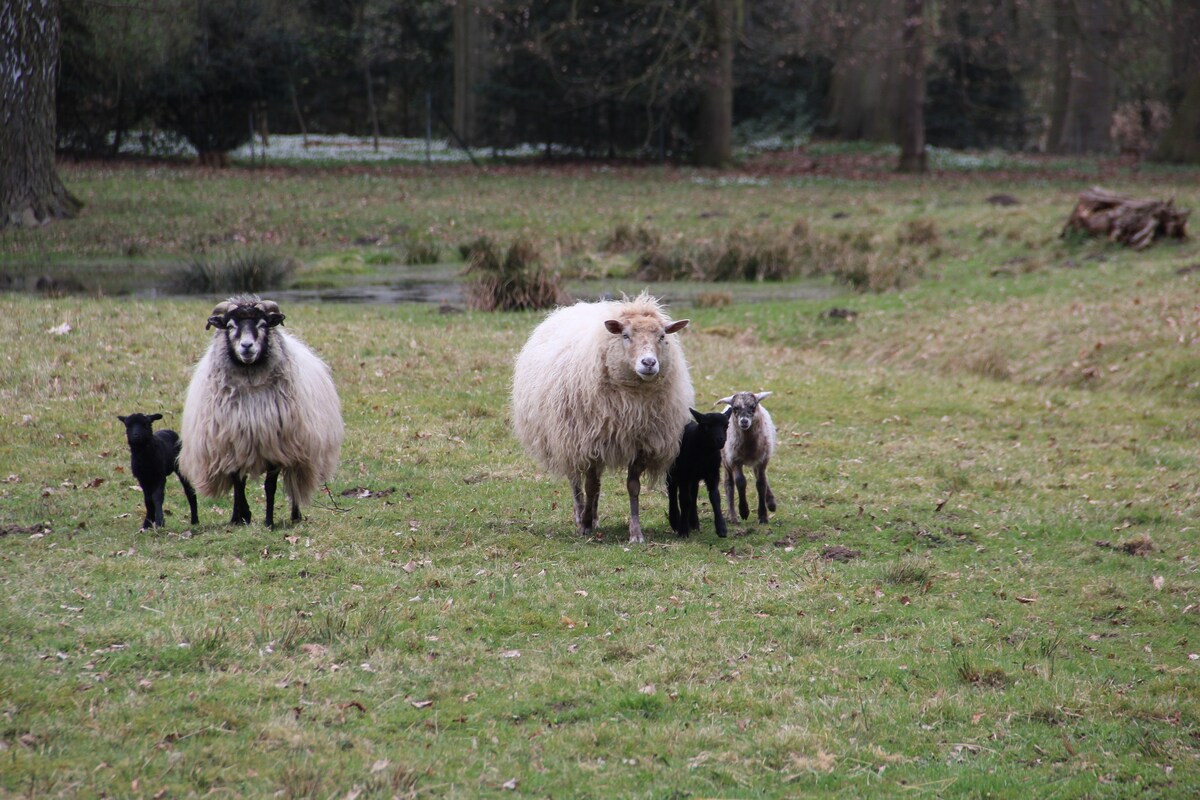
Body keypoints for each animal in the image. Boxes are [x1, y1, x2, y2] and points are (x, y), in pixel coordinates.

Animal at [180, 297, 345, 527]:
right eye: (230, 326)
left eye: (263, 324)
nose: (247, 346)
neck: (250, 381)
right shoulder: (233, 445)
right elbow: (238, 483)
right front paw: (238, 517)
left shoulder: (275, 446)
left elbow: (270, 486)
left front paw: (268, 521)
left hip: (298, 450)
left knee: (294, 484)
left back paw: (295, 515)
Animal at [513, 289, 696, 544]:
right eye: (626, 335)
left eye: (662, 336)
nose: (649, 363)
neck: (633, 399)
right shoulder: (590, 441)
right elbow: (590, 486)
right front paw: (585, 524)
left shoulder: (641, 443)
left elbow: (632, 487)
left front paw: (635, 533)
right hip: (567, 438)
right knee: (576, 481)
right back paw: (582, 515)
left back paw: (595, 517)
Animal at [667, 407, 729, 537]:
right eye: (706, 426)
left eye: (726, 425)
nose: (721, 440)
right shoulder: (684, 475)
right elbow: (684, 500)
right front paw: (683, 530)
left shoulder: (713, 474)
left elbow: (715, 497)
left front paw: (721, 528)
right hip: (673, 471)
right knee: (672, 492)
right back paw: (675, 521)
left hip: (694, 477)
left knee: (694, 493)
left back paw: (694, 522)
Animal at [710, 393, 777, 525]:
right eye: (735, 408)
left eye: (753, 406)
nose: (744, 421)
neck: (748, 447)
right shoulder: (735, 460)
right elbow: (740, 482)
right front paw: (744, 511)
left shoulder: (762, 460)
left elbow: (761, 483)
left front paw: (763, 516)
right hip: (726, 460)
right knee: (729, 484)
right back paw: (733, 516)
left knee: (760, 477)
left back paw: (771, 503)